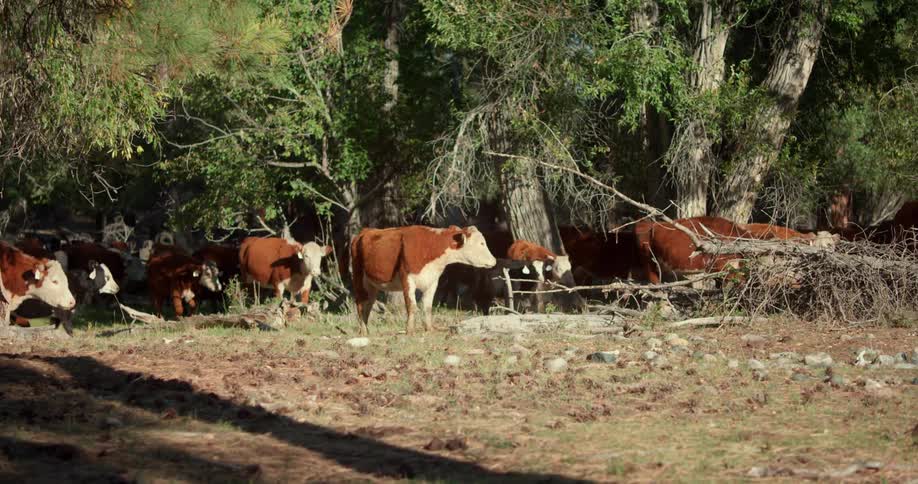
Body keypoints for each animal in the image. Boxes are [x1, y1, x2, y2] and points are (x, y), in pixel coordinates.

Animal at [350, 225, 497, 335]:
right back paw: (363, 331)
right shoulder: (407, 278)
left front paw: (429, 329)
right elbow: (412, 306)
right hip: (359, 279)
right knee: (360, 305)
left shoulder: (432, 281)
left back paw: (366, 330)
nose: (494, 260)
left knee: (368, 305)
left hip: (372, 285)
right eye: (481, 243)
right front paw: (410, 331)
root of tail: (364, 232)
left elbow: (427, 306)